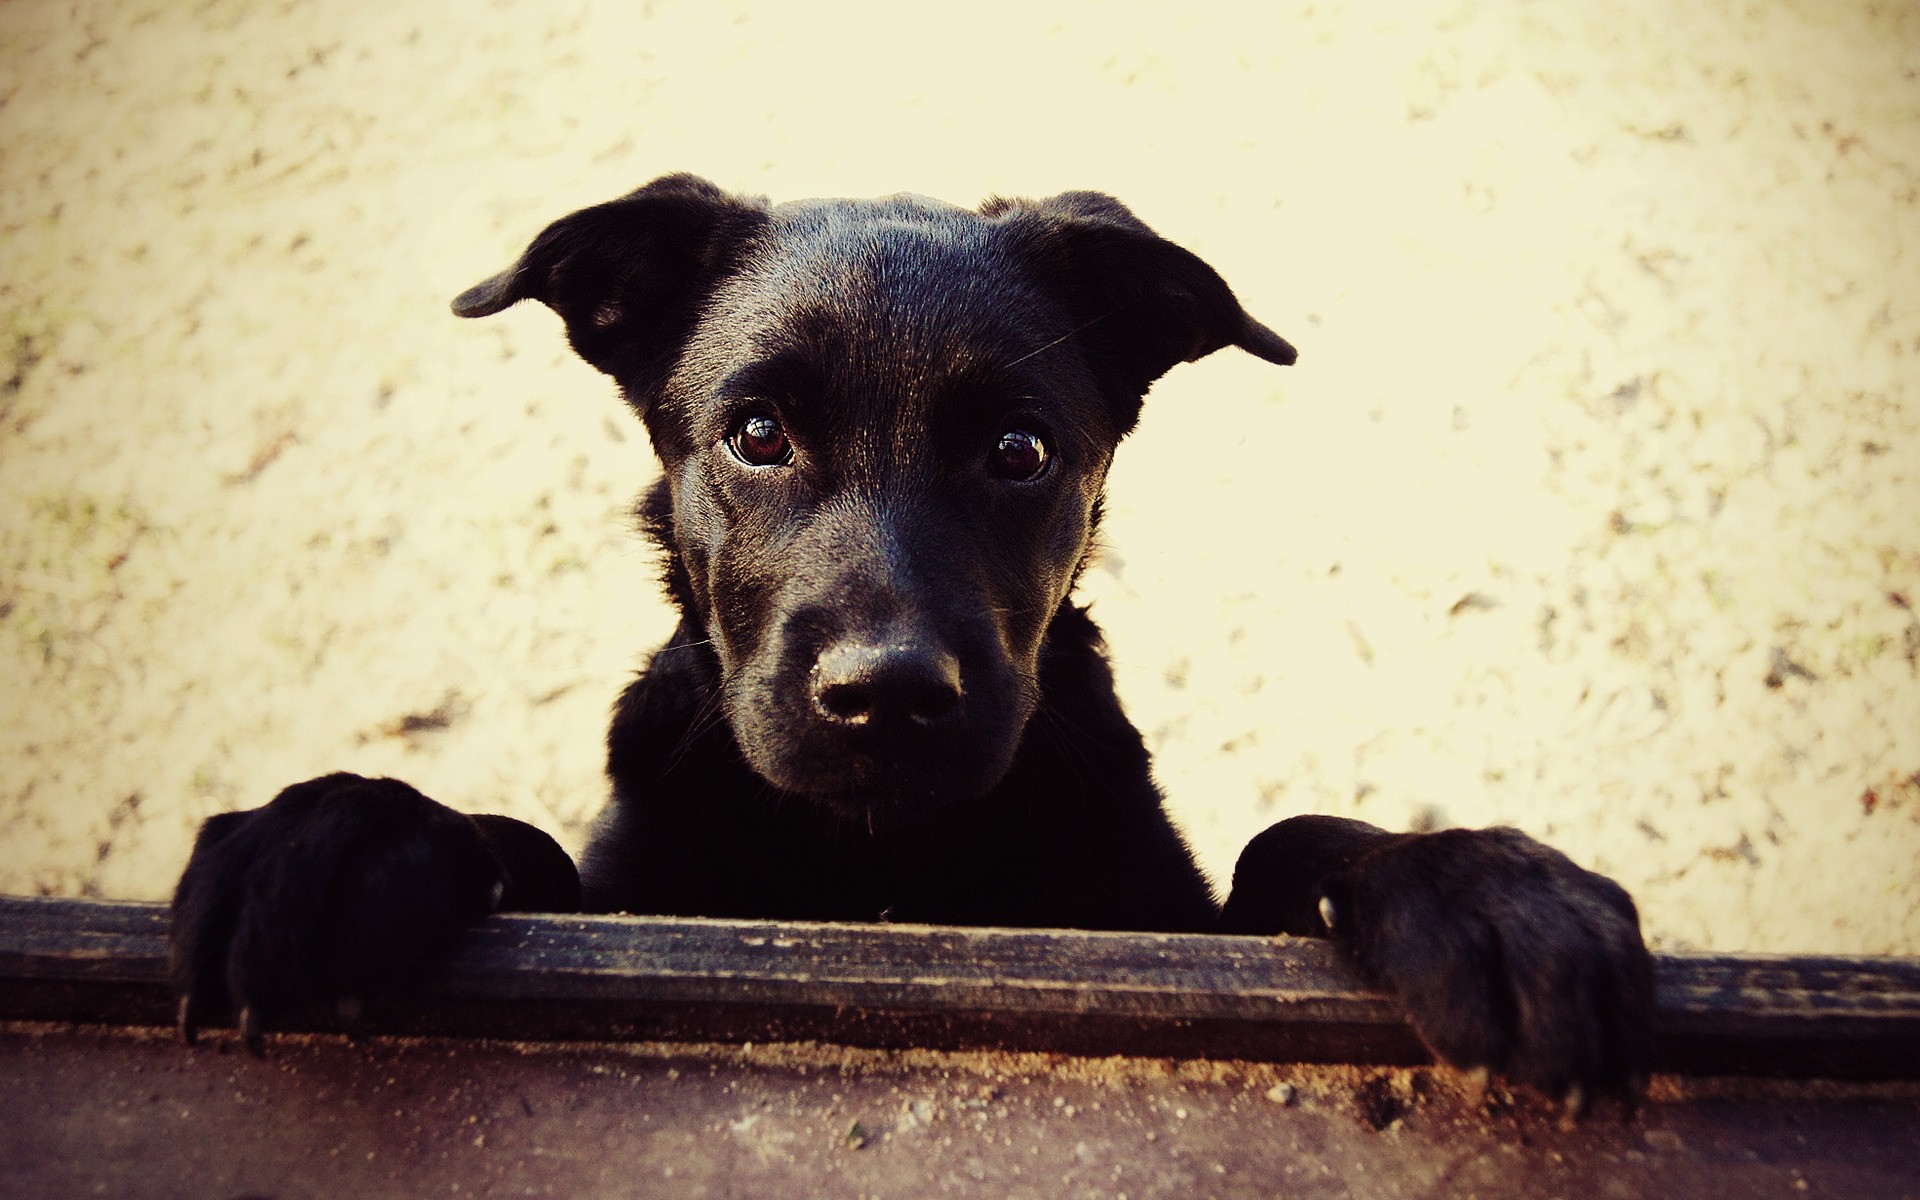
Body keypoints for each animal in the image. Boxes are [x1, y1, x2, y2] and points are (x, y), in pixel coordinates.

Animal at [168, 172, 1651, 1105]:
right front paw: (340, 829)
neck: (881, 858)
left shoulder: (1162, 917)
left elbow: (1291, 842)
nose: (883, 696)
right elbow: (517, 845)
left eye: (1019, 451)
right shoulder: (626, 886)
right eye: (758, 433)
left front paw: (1484, 890)